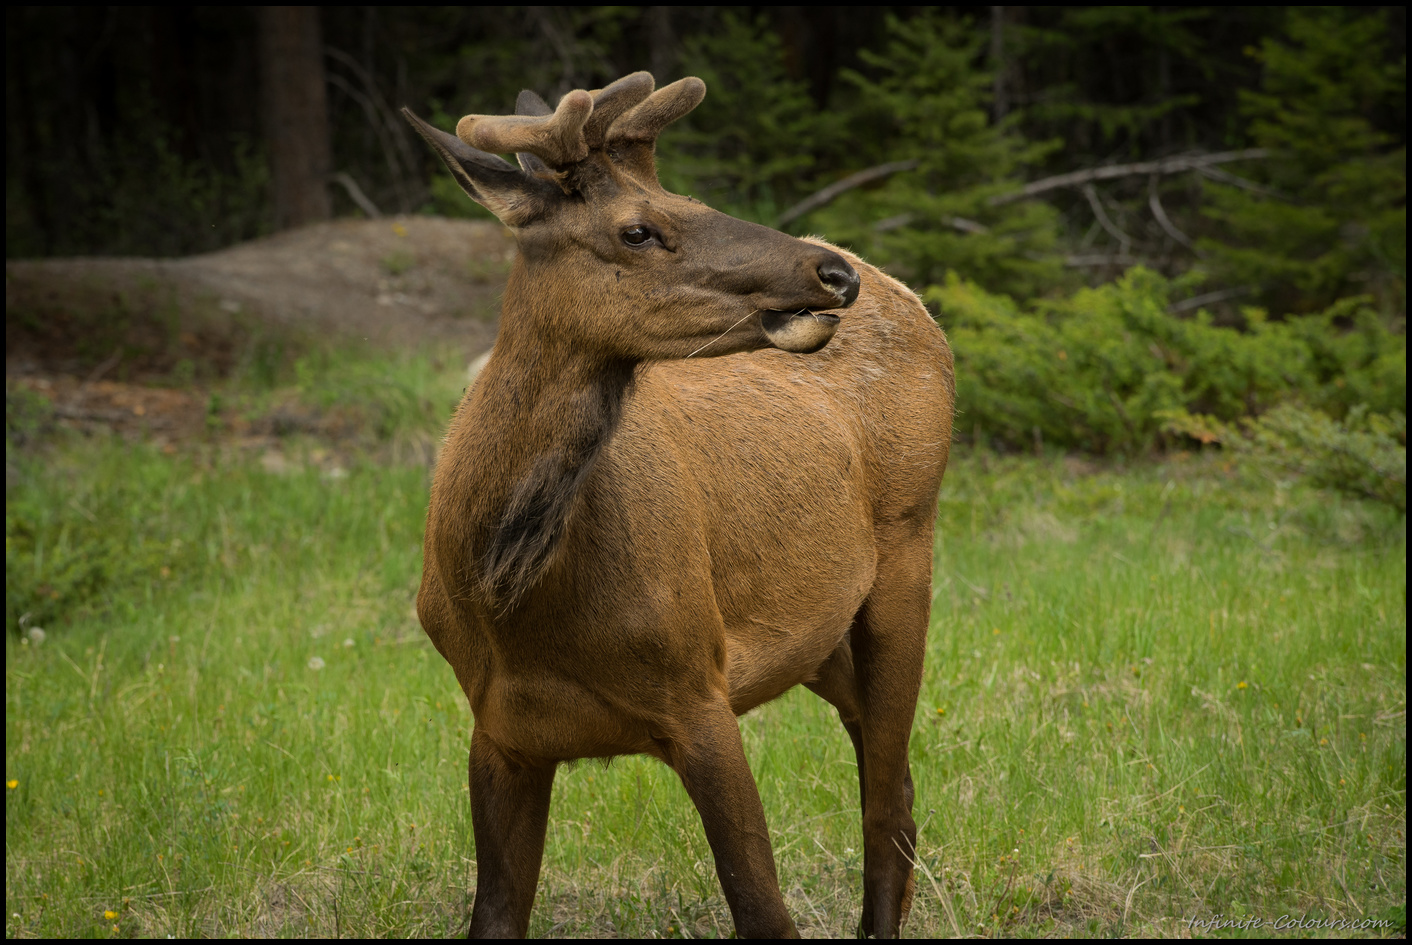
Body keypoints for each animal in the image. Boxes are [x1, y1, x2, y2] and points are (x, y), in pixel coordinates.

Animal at [403, 72, 954, 937]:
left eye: (688, 197)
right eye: (638, 229)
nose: (834, 274)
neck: (514, 599)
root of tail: (917, 303)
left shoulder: (699, 691)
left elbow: (764, 908)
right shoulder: (500, 728)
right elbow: (493, 913)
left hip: (907, 554)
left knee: (886, 803)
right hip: (822, 641)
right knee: (890, 777)